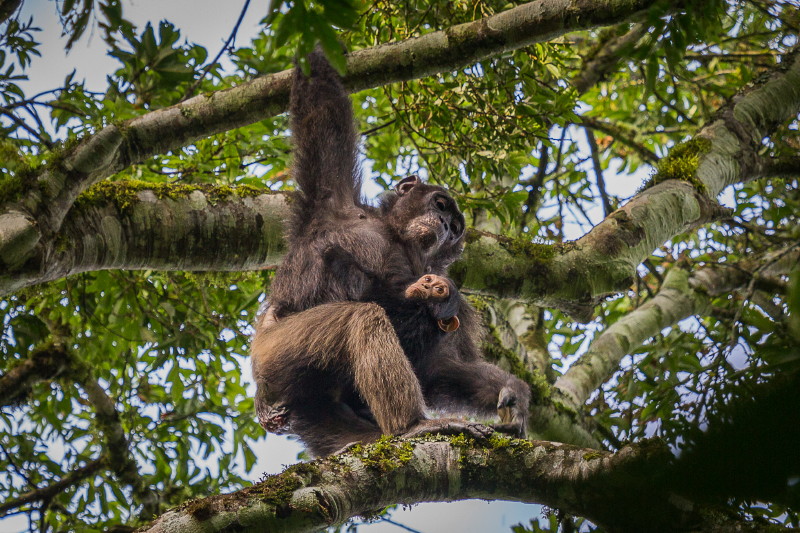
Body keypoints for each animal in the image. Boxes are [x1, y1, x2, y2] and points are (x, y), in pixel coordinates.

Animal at [247, 51, 528, 458]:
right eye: (440, 205)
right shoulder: (333, 201)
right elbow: (322, 112)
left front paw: (513, 393)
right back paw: (411, 425)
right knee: (360, 318)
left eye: (455, 227)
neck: (394, 233)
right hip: (276, 356)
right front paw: (314, 39)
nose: (444, 225)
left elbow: (439, 367)